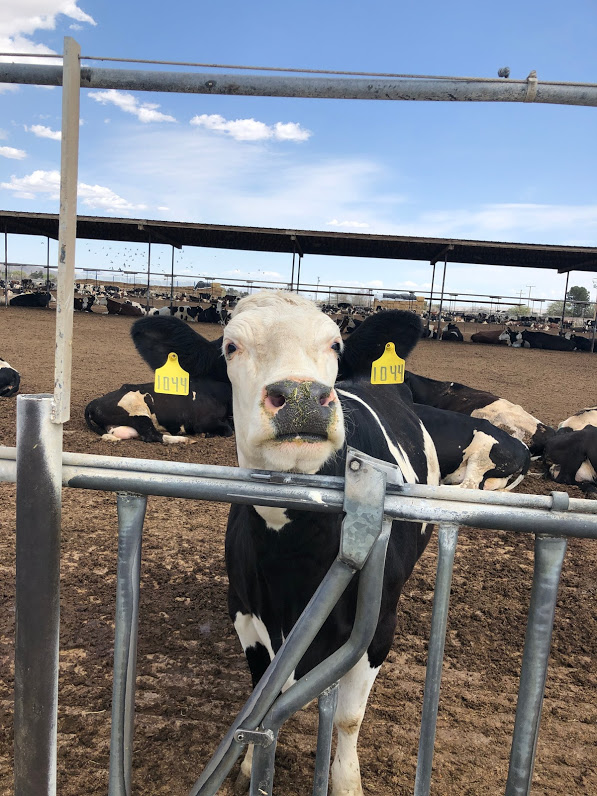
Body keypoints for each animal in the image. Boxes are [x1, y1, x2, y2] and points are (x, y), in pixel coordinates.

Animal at [132, 294, 440, 796]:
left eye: (335, 344)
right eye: (231, 346)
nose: (301, 397)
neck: (293, 558)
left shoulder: (377, 626)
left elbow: (348, 719)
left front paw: (345, 781)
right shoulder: (245, 610)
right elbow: (262, 695)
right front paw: (247, 765)